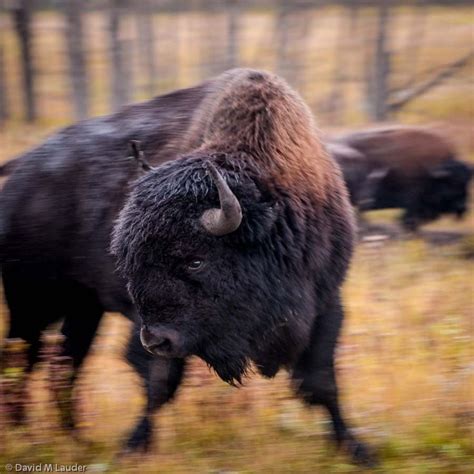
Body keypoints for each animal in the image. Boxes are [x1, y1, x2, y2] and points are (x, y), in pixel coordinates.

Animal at [1, 68, 376, 464]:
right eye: (129, 259)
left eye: (196, 260)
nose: (157, 340)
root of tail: (20, 175)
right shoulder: (153, 329)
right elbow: (158, 383)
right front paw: (133, 447)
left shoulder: (325, 303)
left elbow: (323, 381)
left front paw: (358, 451)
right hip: (31, 302)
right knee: (23, 359)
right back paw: (25, 436)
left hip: (83, 308)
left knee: (64, 364)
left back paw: (73, 438)